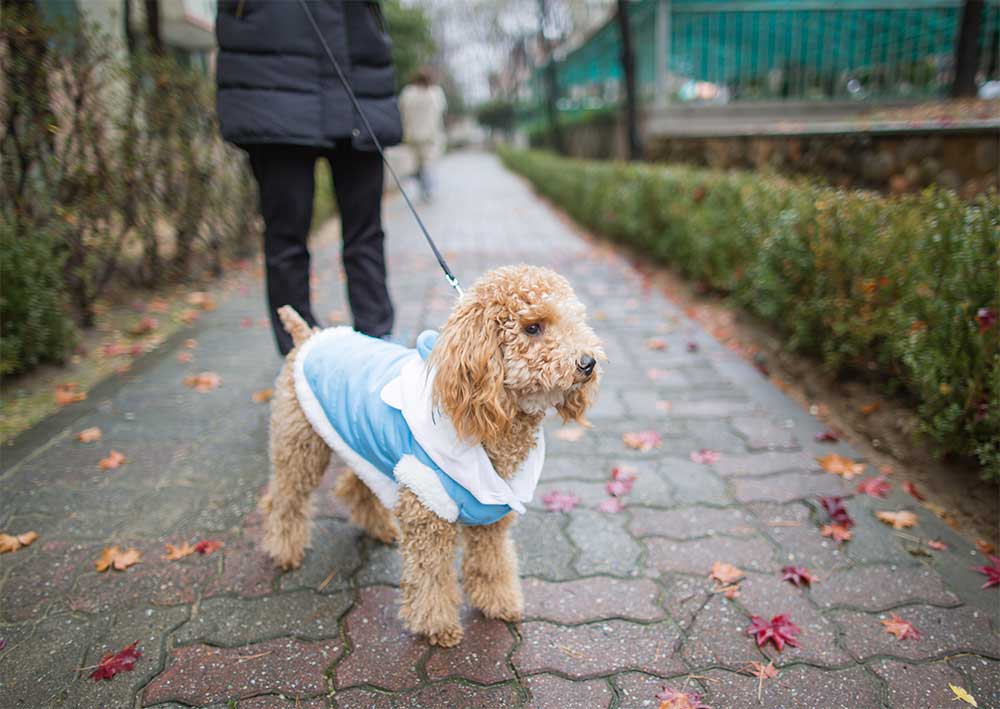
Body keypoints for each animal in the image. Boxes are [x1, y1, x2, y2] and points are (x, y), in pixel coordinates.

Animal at [260, 265, 603, 646]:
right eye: (532, 327)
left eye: (574, 320)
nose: (588, 363)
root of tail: (308, 337)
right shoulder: (429, 514)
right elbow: (431, 576)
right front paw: (437, 626)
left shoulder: (493, 516)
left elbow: (492, 563)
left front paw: (498, 602)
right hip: (300, 443)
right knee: (285, 498)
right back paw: (284, 550)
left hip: (364, 444)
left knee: (355, 483)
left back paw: (377, 526)